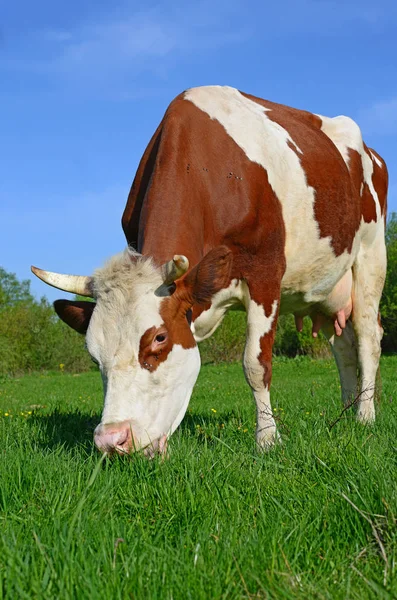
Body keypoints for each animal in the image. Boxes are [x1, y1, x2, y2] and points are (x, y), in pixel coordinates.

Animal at [31, 86, 386, 458]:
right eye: (93, 353)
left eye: (159, 339)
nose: (112, 440)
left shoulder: (265, 272)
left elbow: (256, 364)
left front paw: (267, 440)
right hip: (329, 291)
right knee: (343, 346)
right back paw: (345, 412)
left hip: (371, 253)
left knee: (367, 338)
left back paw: (364, 417)